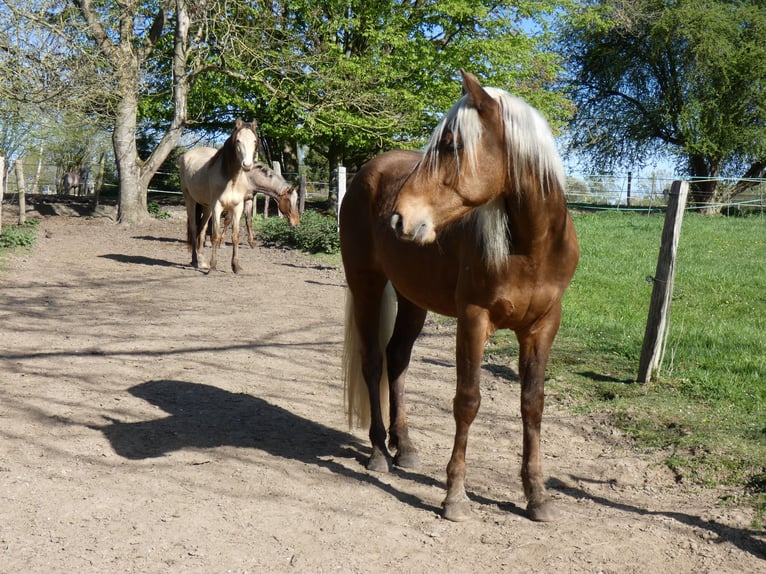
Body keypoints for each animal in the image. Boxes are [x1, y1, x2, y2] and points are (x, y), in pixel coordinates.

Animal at [178, 118, 259, 273]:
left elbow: (235, 236)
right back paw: (196, 260)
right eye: (238, 140)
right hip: (190, 200)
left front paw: (236, 266)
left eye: (255, 141)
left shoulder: (237, 208)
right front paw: (213, 267)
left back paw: (201, 261)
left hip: (206, 206)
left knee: (202, 229)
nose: (247, 165)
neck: (231, 179)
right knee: (194, 228)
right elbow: (215, 236)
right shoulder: (217, 207)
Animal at [340, 71, 579, 523]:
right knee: (373, 361)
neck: (533, 248)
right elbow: (467, 401)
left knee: (397, 359)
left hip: (412, 299)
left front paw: (537, 495)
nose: (399, 218)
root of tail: (367, 173)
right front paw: (454, 495)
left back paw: (405, 446)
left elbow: (533, 404)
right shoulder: (473, 319)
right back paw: (379, 451)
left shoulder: (543, 326)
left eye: (451, 145)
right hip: (366, 285)